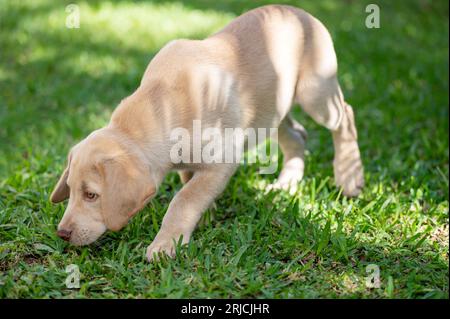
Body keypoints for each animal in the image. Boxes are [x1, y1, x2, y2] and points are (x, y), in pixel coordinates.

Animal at [51, 5, 364, 262]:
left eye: (91, 195)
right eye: (71, 189)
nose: (62, 234)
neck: (162, 105)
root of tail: (300, 13)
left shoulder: (221, 161)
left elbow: (184, 199)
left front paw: (166, 243)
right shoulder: (189, 162)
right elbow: (190, 184)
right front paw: (204, 216)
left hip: (316, 94)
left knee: (345, 116)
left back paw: (349, 177)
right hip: (273, 113)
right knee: (298, 135)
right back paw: (286, 184)